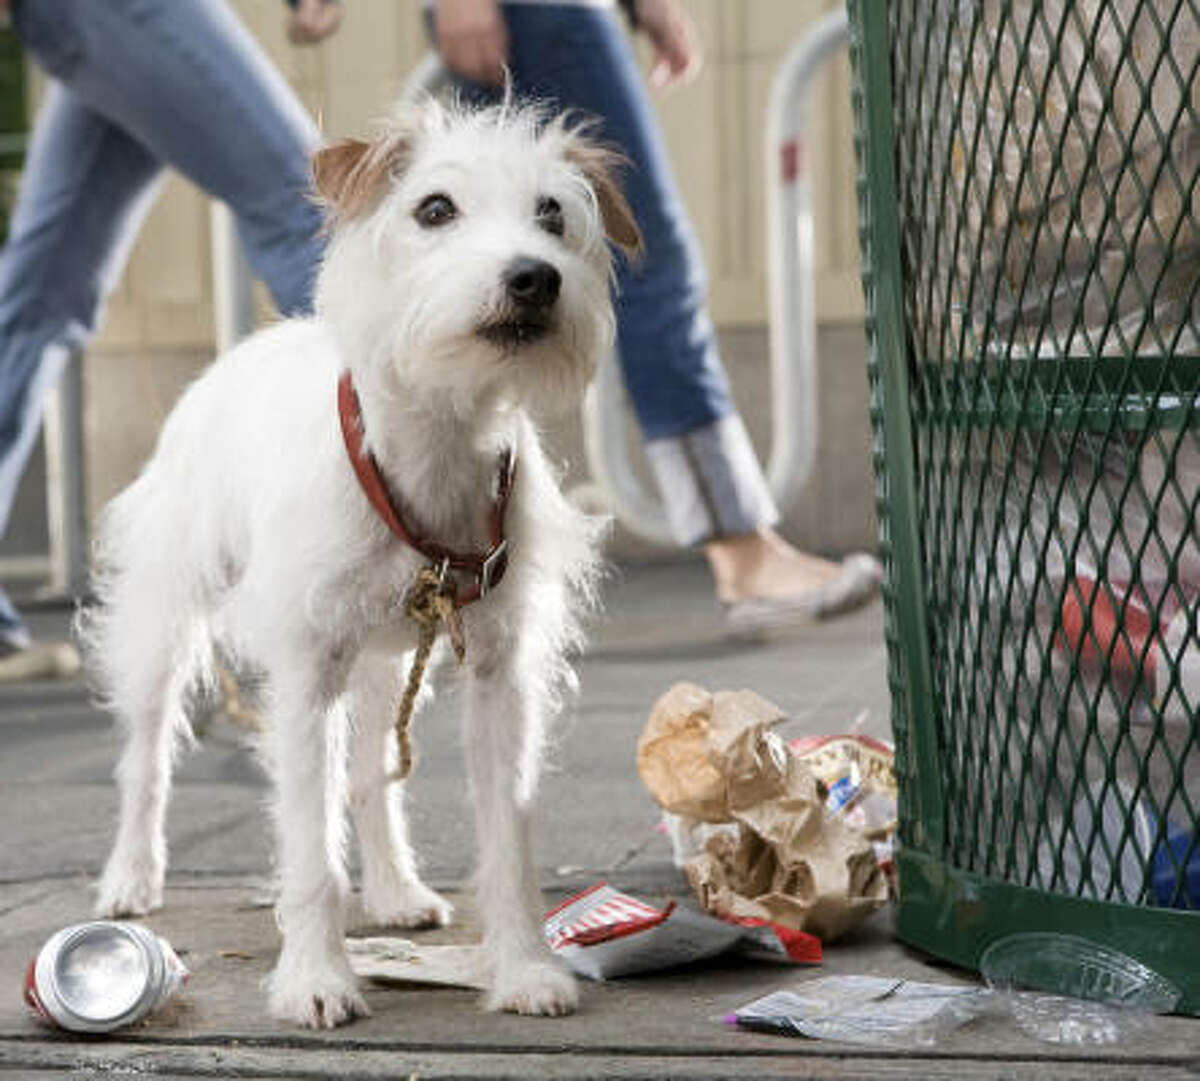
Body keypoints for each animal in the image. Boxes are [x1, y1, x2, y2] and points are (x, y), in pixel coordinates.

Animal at [81, 103, 643, 1027]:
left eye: (553, 214)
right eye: (435, 209)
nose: (533, 278)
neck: (432, 441)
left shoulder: (499, 676)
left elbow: (508, 840)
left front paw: (523, 967)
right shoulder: (308, 673)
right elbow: (310, 845)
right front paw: (315, 977)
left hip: (386, 662)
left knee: (376, 779)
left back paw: (394, 888)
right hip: (165, 623)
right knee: (146, 755)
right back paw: (130, 875)